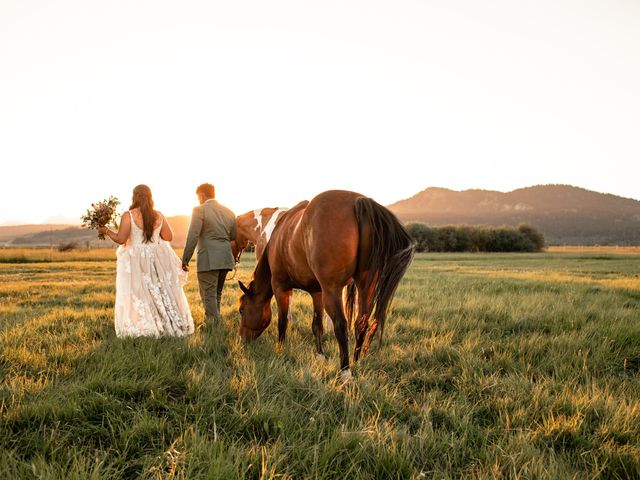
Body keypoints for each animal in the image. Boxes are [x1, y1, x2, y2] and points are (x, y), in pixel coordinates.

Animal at [236, 189, 416, 380]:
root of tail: (359, 202)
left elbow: (282, 321)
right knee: (361, 322)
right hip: (366, 287)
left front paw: (280, 349)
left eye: (242, 310)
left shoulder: (281, 287)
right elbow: (317, 325)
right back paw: (356, 361)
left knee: (341, 325)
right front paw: (320, 354)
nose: (242, 340)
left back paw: (345, 371)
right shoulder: (317, 293)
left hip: (333, 290)